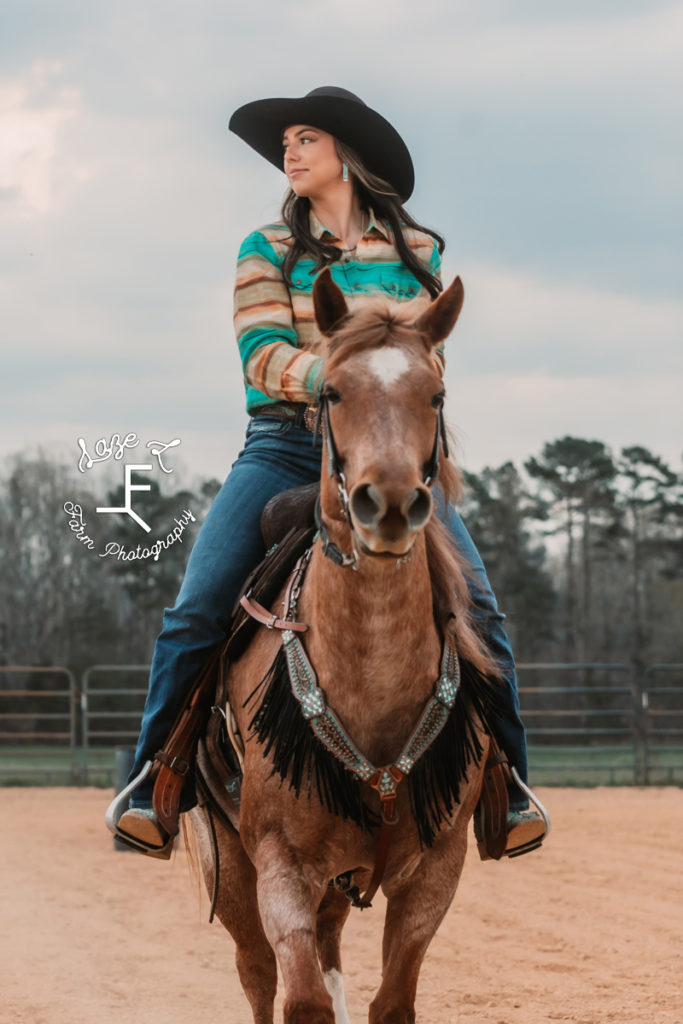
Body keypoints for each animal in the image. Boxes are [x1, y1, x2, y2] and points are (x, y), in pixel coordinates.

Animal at [188, 272, 501, 1024]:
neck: (372, 685)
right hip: (230, 873)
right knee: (256, 974)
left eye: (435, 393)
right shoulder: (281, 867)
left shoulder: (435, 871)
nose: (386, 503)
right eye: (330, 391)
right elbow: (301, 1000)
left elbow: (391, 1001)